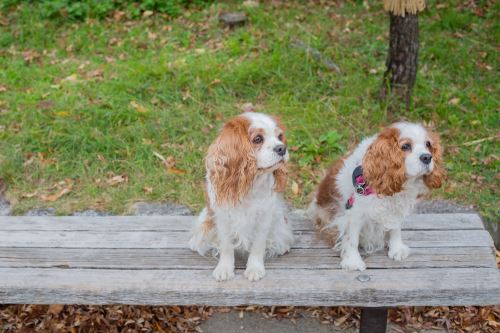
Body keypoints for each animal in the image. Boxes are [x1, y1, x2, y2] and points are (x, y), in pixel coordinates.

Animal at [189, 111, 294, 280]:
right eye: (258, 139)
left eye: (280, 136)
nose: (282, 148)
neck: (250, 183)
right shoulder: (223, 217)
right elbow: (226, 246)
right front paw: (224, 268)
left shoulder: (264, 217)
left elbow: (258, 245)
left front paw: (255, 268)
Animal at [308, 121, 446, 270]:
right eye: (405, 146)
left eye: (428, 144)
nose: (427, 157)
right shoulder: (355, 212)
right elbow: (352, 239)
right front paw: (353, 261)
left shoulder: (395, 207)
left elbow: (395, 228)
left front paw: (396, 248)